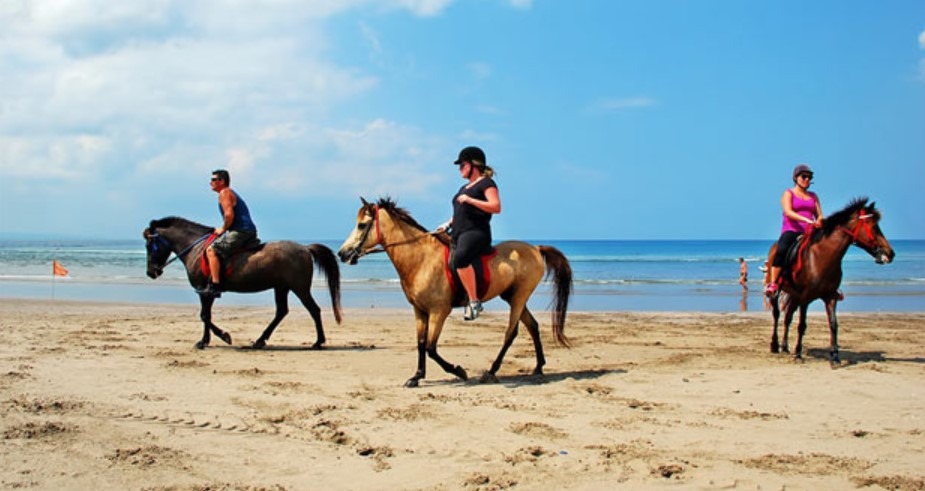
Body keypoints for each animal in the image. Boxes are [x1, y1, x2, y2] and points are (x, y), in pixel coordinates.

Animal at [144, 217, 342, 352]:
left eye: (149, 245)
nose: (151, 272)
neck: (196, 249)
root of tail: (305, 248)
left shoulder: (204, 290)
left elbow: (204, 316)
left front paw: (219, 338)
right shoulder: (206, 293)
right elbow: (206, 316)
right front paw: (209, 340)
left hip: (299, 288)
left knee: (313, 310)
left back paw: (318, 342)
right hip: (281, 287)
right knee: (281, 312)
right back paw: (260, 340)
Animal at [340, 197, 572, 388]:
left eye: (362, 225)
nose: (342, 253)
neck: (422, 259)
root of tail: (536, 249)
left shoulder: (439, 311)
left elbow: (431, 348)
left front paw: (458, 371)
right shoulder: (420, 311)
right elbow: (421, 344)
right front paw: (416, 377)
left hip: (519, 297)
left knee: (511, 333)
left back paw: (491, 371)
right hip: (512, 297)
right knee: (532, 326)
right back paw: (538, 367)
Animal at [764, 199, 896, 366]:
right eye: (873, 227)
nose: (890, 253)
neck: (822, 256)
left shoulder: (830, 297)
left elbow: (833, 325)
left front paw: (834, 356)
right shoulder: (805, 298)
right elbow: (802, 325)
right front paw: (798, 354)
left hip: (794, 295)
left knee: (787, 317)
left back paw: (785, 346)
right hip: (776, 292)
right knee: (776, 314)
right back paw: (774, 345)